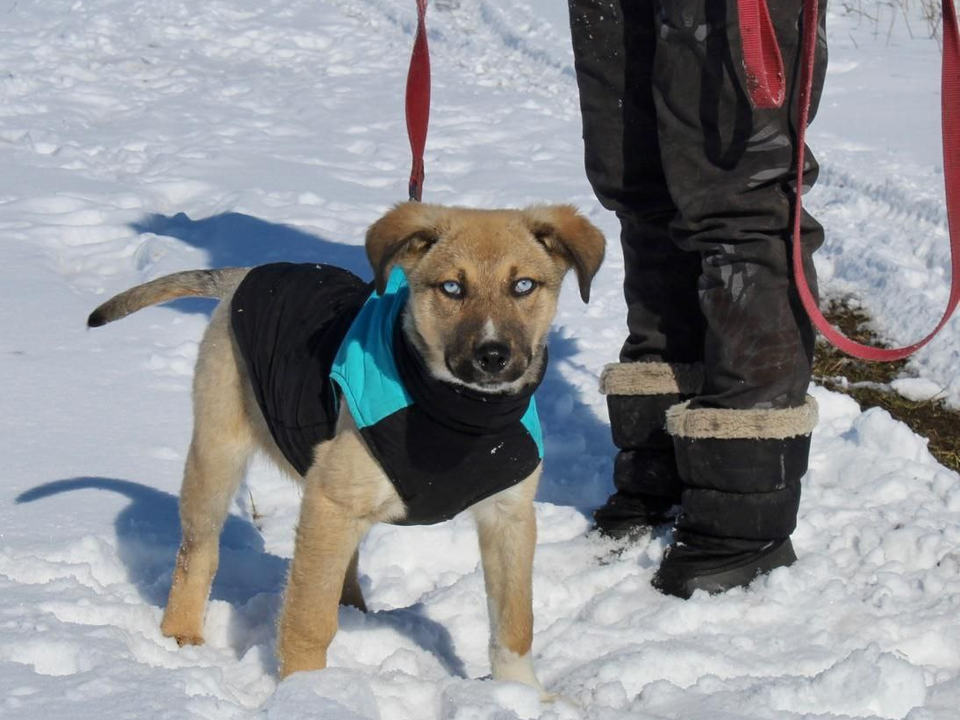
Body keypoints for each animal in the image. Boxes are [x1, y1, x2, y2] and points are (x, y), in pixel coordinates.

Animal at [88, 200, 600, 696]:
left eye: (524, 285)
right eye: (452, 288)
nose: (492, 356)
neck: (458, 413)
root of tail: (243, 276)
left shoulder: (509, 513)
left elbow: (515, 621)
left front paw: (523, 694)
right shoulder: (329, 500)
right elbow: (308, 618)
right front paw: (306, 693)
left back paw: (355, 610)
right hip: (220, 453)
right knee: (198, 551)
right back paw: (181, 634)